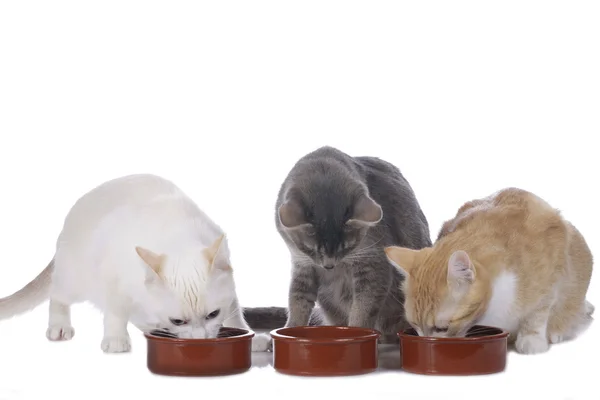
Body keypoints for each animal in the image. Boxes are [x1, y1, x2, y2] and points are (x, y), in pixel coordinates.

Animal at [0, 173, 270, 352]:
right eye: (178, 321)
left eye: (213, 314)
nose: (199, 340)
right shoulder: (113, 279)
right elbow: (115, 313)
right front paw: (116, 341)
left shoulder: (230, 293)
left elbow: (235, 316)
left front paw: (253, 339)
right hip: (74, 279)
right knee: (58, 296)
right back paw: (59, 327)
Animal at [244, 147, 432, 344]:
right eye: (310, 248)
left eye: (347, 246)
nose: (329, 266)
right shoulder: (302, 264)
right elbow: (297, 301)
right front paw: (289, 330)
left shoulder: (374, 263)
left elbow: (364, 307)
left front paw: (357, 332)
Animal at [384, 186, 596, 354]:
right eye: (414, 324)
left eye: (442, 328)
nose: (426, 341)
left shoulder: (551, 274)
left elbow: (538, 313)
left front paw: (532, 339)